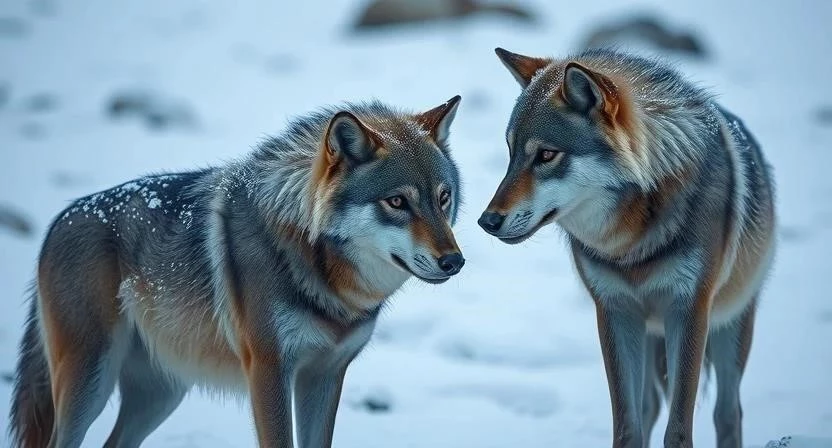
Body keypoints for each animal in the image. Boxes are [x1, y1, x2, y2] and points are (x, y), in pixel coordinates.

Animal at [9, 96, 466, 448]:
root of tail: (58, 220)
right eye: (397, 202)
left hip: (161, 394)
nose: (454, 261)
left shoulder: (325, 375)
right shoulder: (268, 370)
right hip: (90, 381)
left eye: (443, 198)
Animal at [478, 47, 775, 448]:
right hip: (650, 335)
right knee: (650, 406)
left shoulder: (689, 310)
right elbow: (627, 425)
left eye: (546, 155)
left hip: (731, 325)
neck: (631, 242)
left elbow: (678, 430)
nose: (486, 221)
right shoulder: (615, 311)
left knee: (729, 413)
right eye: (510, 154)